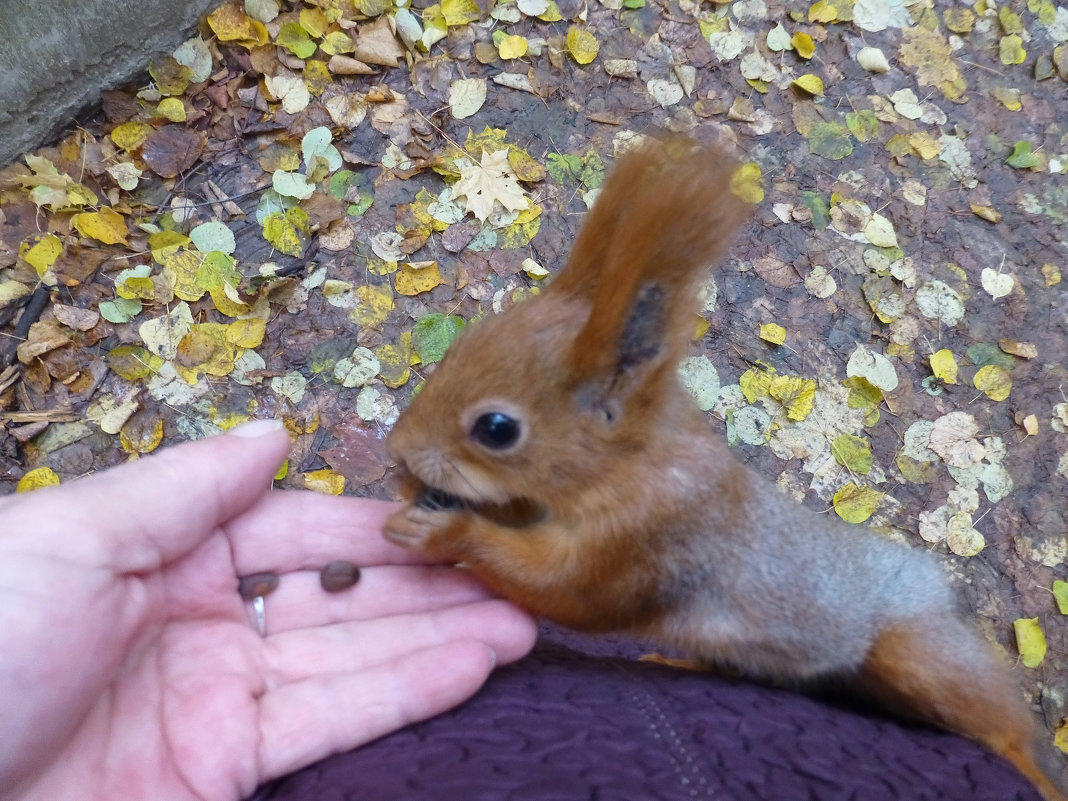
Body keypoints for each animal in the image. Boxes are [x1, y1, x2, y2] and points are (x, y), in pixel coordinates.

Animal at [384, 137, 1068, 801]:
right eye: (462, 345)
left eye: (497, 429)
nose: (397, 450)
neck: (627, 464)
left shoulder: (655, 533)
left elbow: (571, 593)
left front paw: (449, 533)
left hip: (917, 651)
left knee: (1000, 722)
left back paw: (1030, 769)